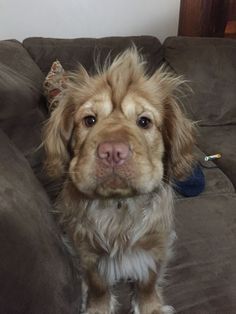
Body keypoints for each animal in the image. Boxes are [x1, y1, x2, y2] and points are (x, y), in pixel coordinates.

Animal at [43, 47, 195, 314]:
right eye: (89, 120)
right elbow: (98, 285)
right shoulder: (87, 249)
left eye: (144, 121)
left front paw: (150, 307)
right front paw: (98, 308)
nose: (113, 151)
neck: (119, 206)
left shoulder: (155, 244)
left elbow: (148, 282)